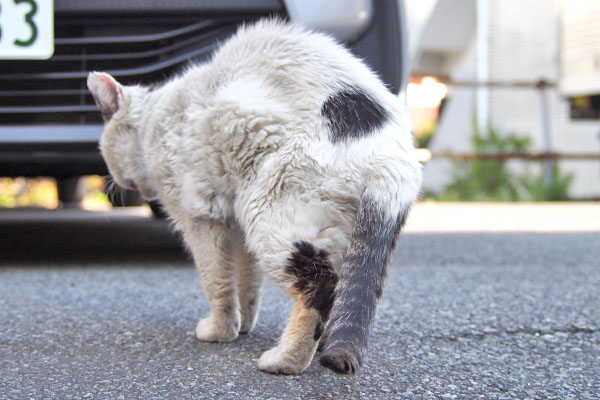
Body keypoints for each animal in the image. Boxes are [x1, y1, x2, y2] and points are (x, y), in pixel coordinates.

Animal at [88, 18, 422, 376]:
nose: (112, 182)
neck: (155, 120)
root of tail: (392, 156)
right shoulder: (234, 219)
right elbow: (246, 280)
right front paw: (243, 324)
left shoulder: (201, 219)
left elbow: (216, 279)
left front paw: (220, 330)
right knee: (348, 288)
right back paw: (323, 342)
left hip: (269, 212)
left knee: (321, 287)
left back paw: (285, 360)